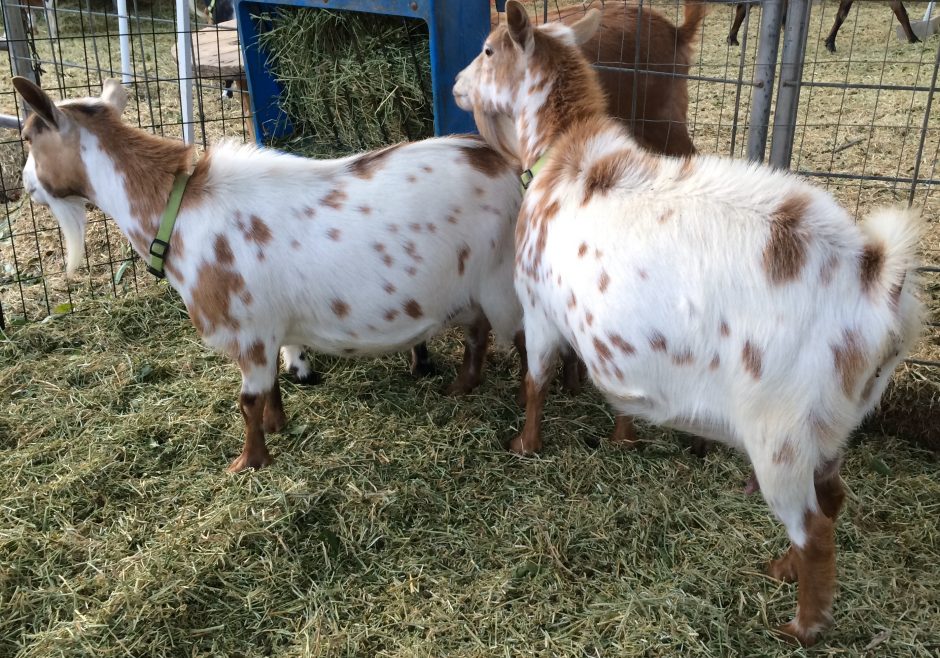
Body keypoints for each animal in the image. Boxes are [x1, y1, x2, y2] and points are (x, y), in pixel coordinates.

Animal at [13, 76, 525, 473]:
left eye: (28, 137)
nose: (26, 186)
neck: (177, 211)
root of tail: (501, 163)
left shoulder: (249, 330)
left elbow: (247, 401)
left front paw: (248, 463)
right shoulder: (266, 329)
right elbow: (271, 387)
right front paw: (278, 427)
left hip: (504, 283)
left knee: (519, 342)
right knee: (478, 332)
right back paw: (461, 387)